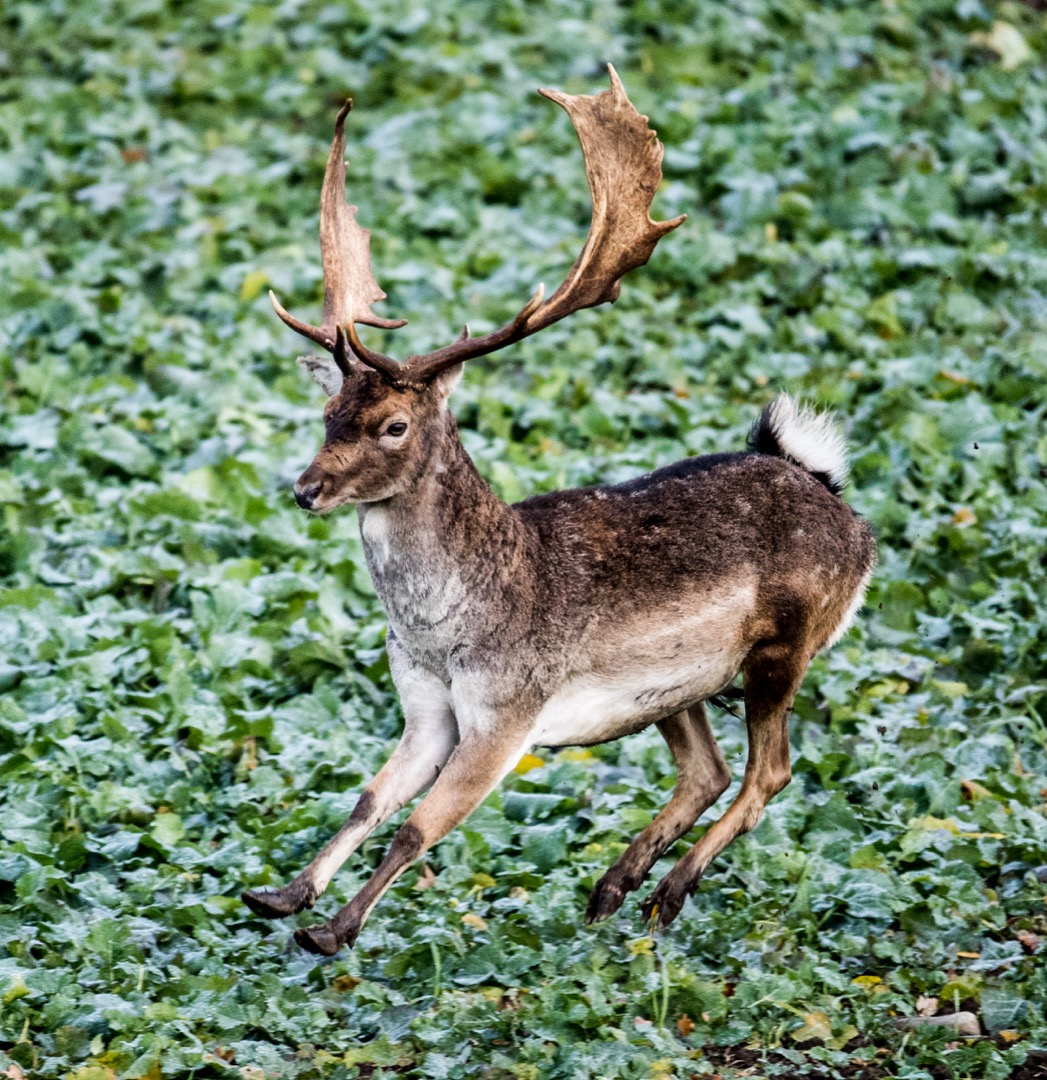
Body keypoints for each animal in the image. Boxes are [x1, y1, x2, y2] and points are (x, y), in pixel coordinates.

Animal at [238, 65, 873, 954]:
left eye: (393, 424)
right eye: (328, 413)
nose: (307, 488)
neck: (441, 630)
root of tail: (832, 491)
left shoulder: (507, 716)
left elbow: (419, 826)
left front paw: (333, 931)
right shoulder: (426, 708)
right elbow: (369, 797)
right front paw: (281, 894)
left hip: (786, 646)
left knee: (770, 769)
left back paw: (665, 893)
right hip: (675, 690)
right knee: (706, 769)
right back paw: (611, 887)